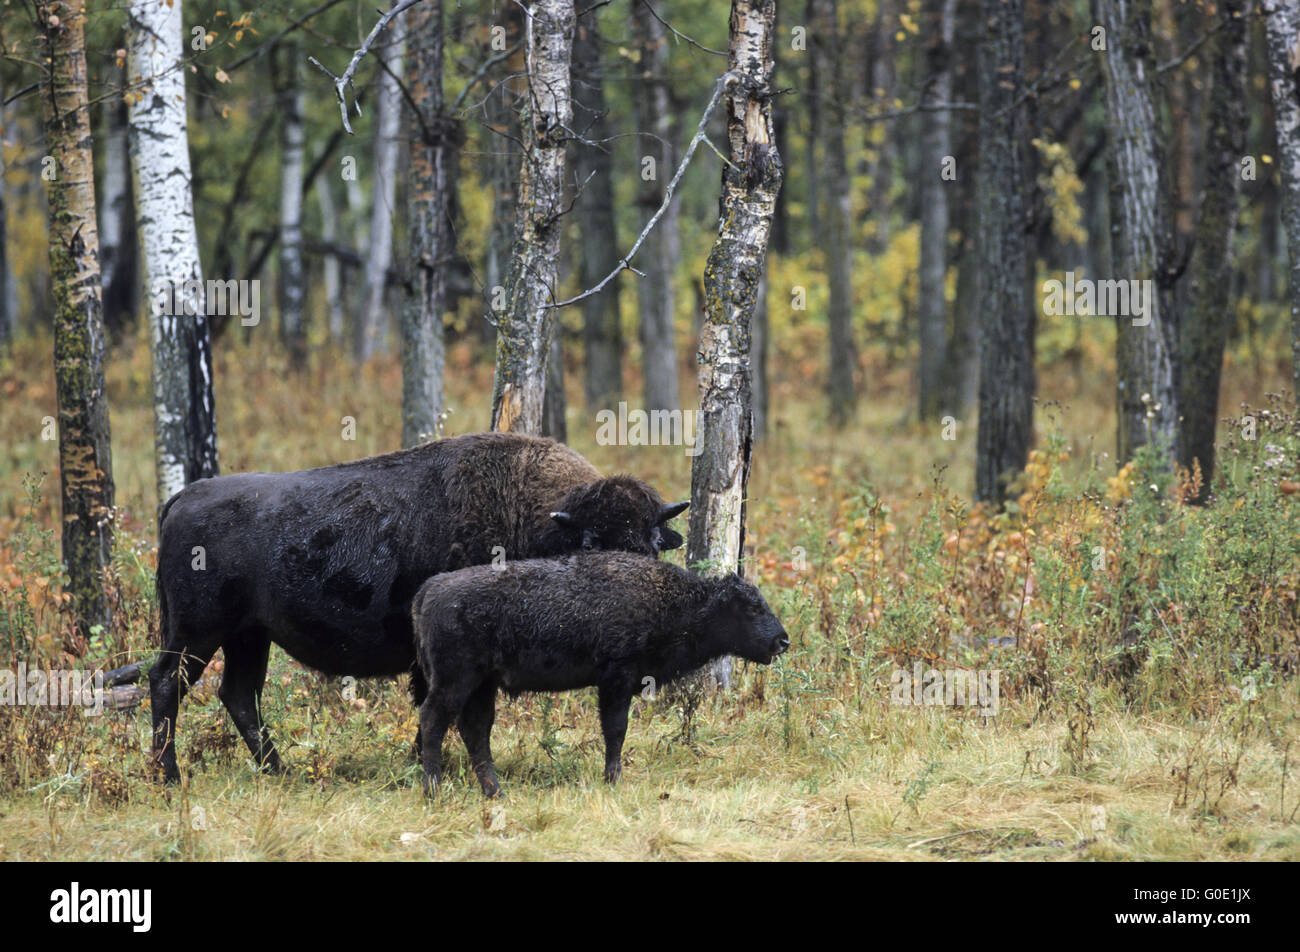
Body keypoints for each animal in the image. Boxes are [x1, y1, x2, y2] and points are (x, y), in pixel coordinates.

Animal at [149, 431, 691, 780]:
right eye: (593, 543)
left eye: (650, 544)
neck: (537, 518)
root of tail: (181, 499)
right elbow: (444, 708)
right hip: (198, 632)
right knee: (168, 683)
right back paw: (168, 775)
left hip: (248, 635)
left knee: (239, 694)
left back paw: (279, 772)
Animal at [410, 551, 785, 795]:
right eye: (753, 608)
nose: (782, 641)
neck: (675, 602)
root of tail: (430, 589)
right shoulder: (617, 680)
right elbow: (616, 730)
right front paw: (612, 780)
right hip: (455, 681)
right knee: (433, 720)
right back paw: (434, 790)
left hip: (482, 685)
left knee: (475, 731)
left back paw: (495, 791)